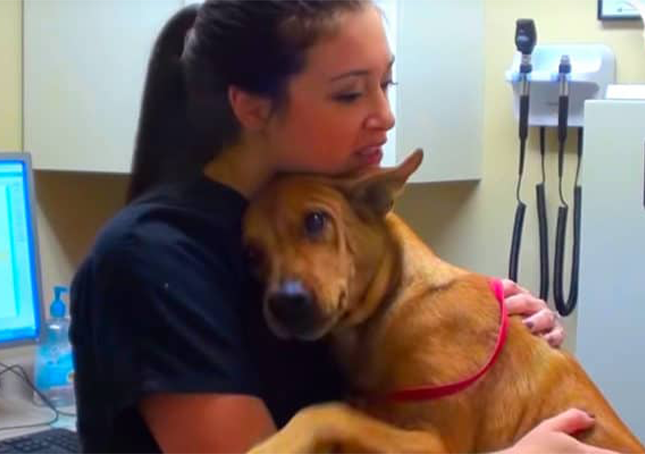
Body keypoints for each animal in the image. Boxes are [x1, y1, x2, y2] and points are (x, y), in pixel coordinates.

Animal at [242, 151, 644, 452]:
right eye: (251, 254)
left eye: (315, 220)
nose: (284, 303)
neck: (391, 307)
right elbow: (342, 412)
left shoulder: (435, 442)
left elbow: (325, 413)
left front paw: (270, 447)